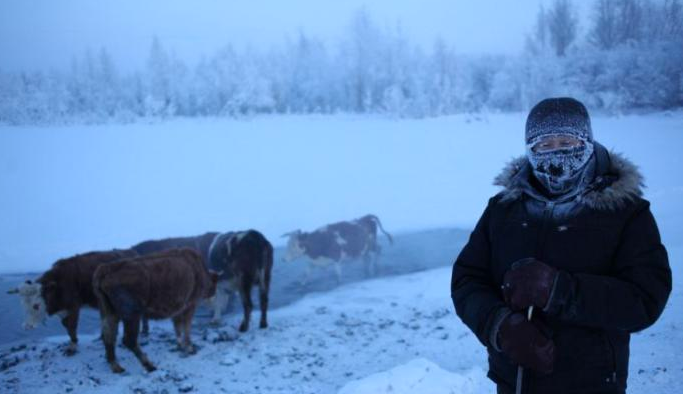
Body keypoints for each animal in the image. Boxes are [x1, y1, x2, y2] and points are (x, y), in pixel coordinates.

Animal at [7, 249, 139, 358]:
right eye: (23, 305)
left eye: (36, 305)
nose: (27, 326)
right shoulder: (63, 310)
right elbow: (66, 327)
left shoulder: (73, 307)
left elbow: (71, 327)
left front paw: (72, 347)